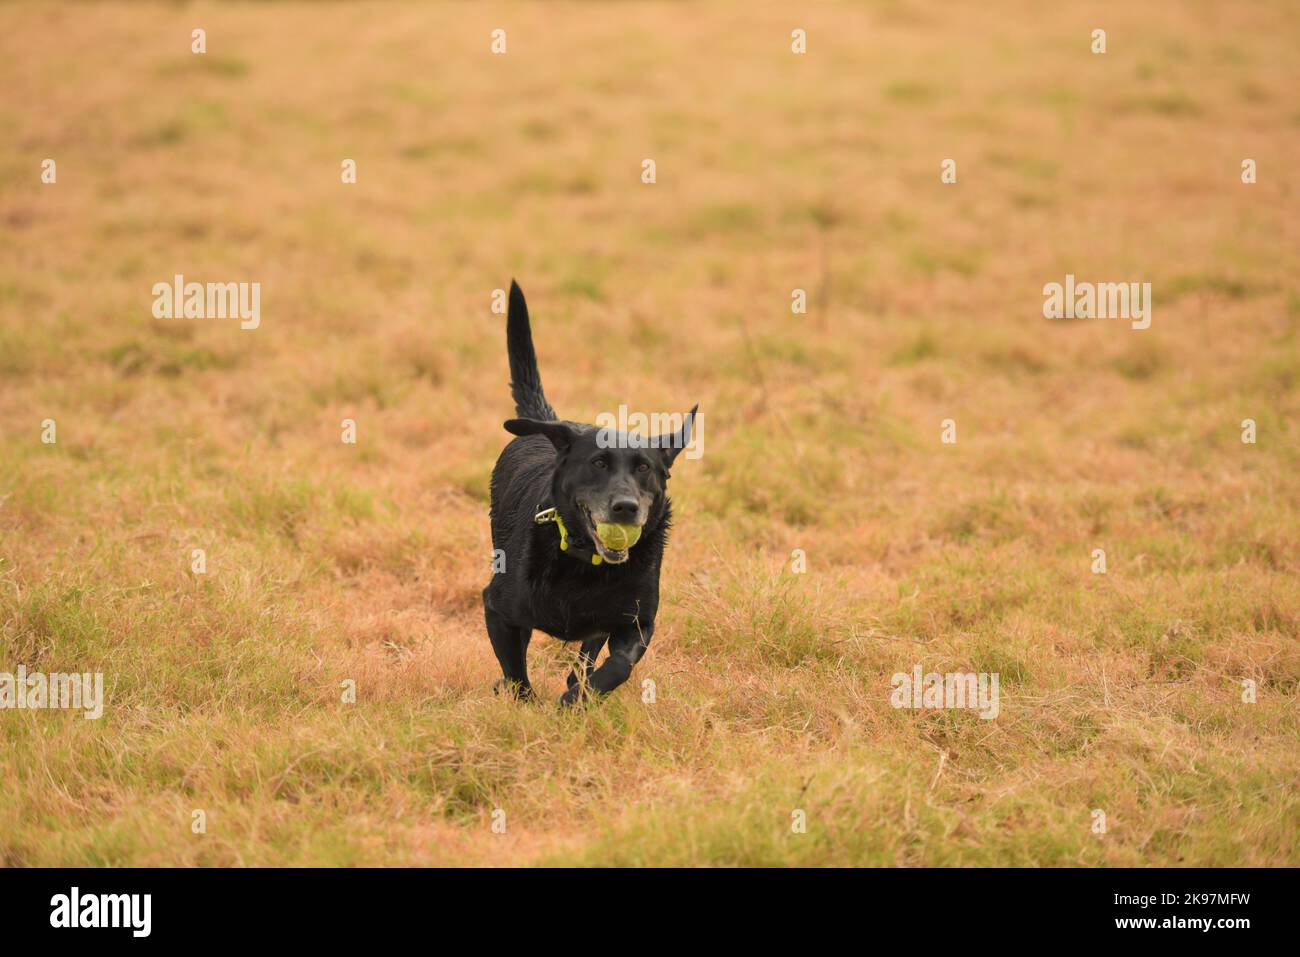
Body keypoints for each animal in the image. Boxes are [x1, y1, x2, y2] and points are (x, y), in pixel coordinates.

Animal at [483, 280, 696, 707]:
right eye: (598, 463)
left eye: (644, 468)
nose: (625, 507)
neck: (586, 564)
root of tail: (550, 422)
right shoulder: (497, 609)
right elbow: (516, 674)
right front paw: (526, 707)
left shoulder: (637, 622)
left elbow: (616, 666)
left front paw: (575, 698)